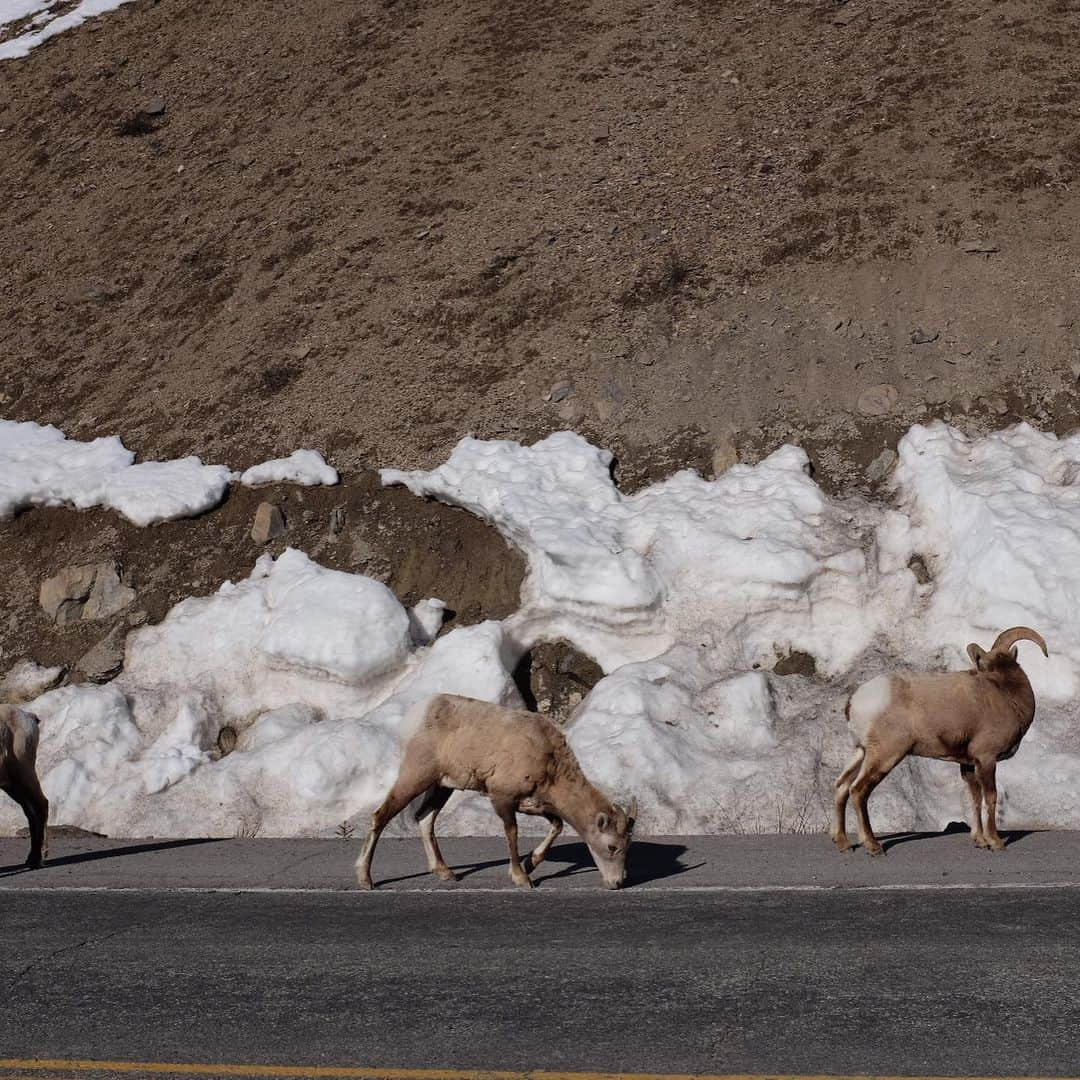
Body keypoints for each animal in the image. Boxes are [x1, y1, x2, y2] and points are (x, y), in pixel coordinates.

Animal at [0, 704, 49, 872]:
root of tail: (29, 717)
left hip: (23, 772)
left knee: (41, 805)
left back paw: (37, 860)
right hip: (11, 784)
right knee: (31, 812)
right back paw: (31, 859)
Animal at [356, 695, 630, 889]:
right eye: (612, 847)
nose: (617, 883)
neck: (549, 761)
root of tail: (415, 717)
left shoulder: (532, 804)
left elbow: (558, 825)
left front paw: (530, 864)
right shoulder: (501, 798)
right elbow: (512, 833)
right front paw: (522, 877)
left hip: (442, 787)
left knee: (424, 818)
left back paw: (446, 873)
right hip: (416, 777)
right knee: (381, 815)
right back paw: (366, 879)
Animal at [833, 630, 1045, 855]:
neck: (1007, 695)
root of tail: (854, 701)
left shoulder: (969, 765)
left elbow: (975, 800)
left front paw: (980, 841)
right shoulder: (987, 759)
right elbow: (991, 797)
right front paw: (995, 842)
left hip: (861, 753)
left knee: (841, 786)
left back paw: (843, 844)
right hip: (884, 756)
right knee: (858, 791)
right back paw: (873, 846)